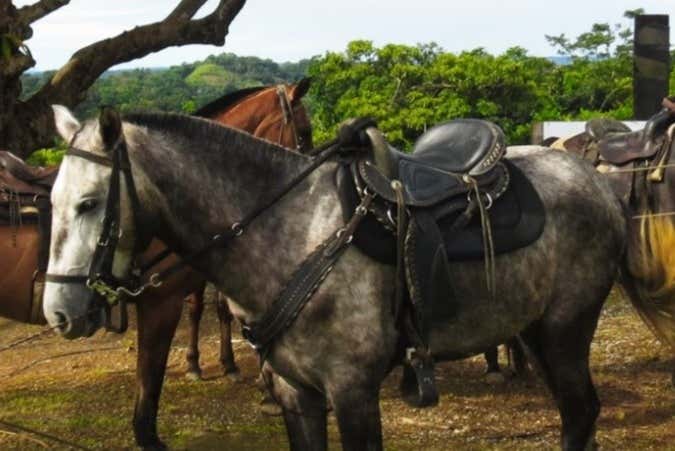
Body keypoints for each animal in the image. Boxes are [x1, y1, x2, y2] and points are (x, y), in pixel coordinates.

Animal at [44, 106, 625, 450]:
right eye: (49, 202)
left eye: (89, 203)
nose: (60, 313)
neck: (293, 231)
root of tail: (594, 180)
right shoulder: (296, 393)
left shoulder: (352, 391)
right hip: (536, 332)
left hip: (566, 330)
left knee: (580, 413)